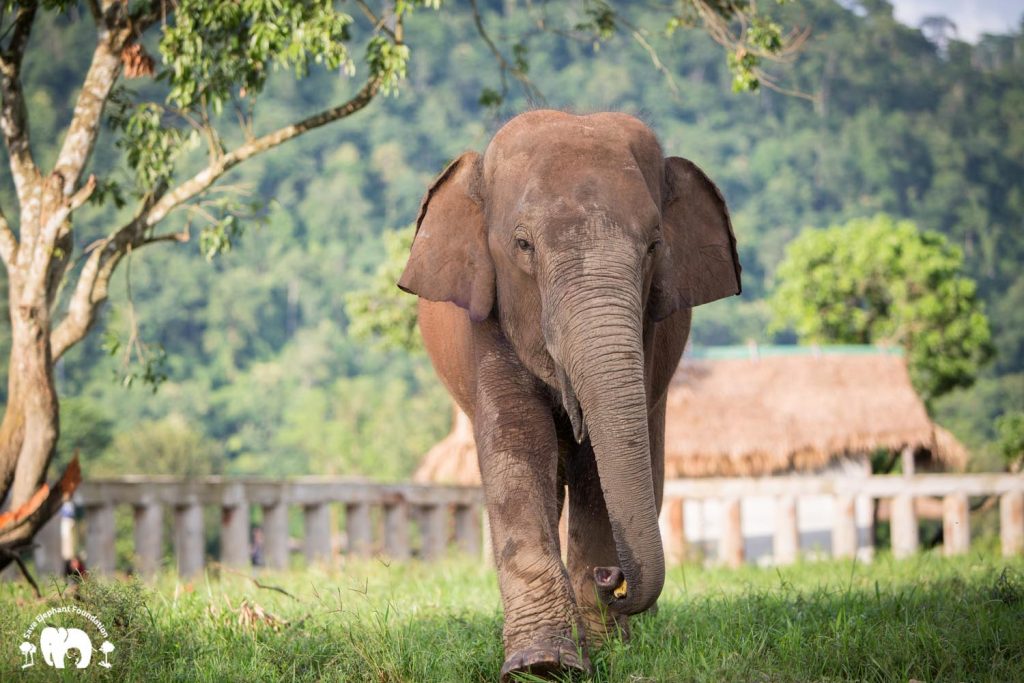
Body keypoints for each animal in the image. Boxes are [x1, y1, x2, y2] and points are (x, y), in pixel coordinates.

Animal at [395, 111, 741, 679]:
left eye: (654, 246)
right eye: (523, 245)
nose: (610, 578)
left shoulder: (648, 333)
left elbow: (599, 464)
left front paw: (604, 651)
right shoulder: (486, 321)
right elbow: (517, 442)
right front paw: (542, 665)